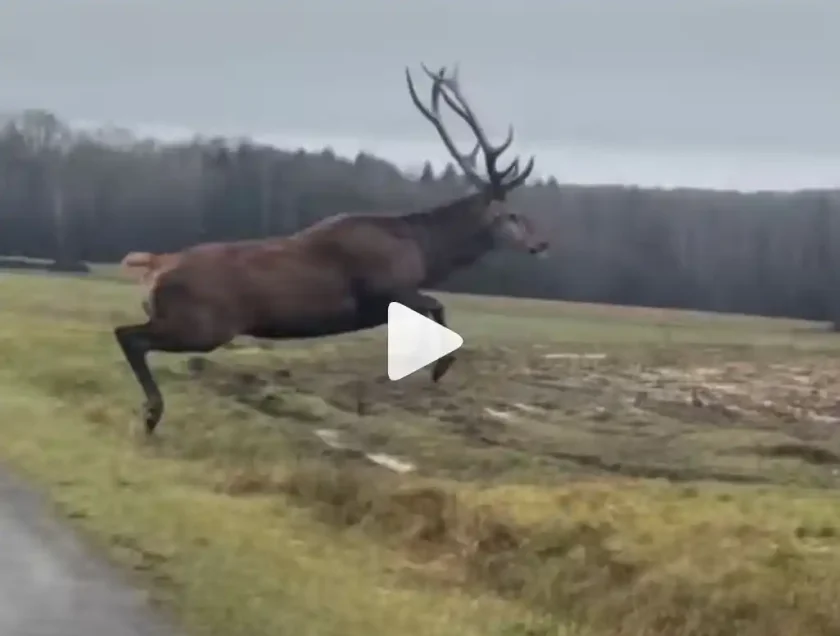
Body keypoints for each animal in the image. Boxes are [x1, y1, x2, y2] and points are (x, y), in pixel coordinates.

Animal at [114, 63, 549, 435]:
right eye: (511, 215)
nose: (541, 242)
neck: (423, 251)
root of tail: (154, 267)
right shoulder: (384, 289)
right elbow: (438, 307)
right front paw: (439, 368)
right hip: (205, 324)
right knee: (129, 335)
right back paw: (152, 412)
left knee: (129, 334)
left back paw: (150, 413)